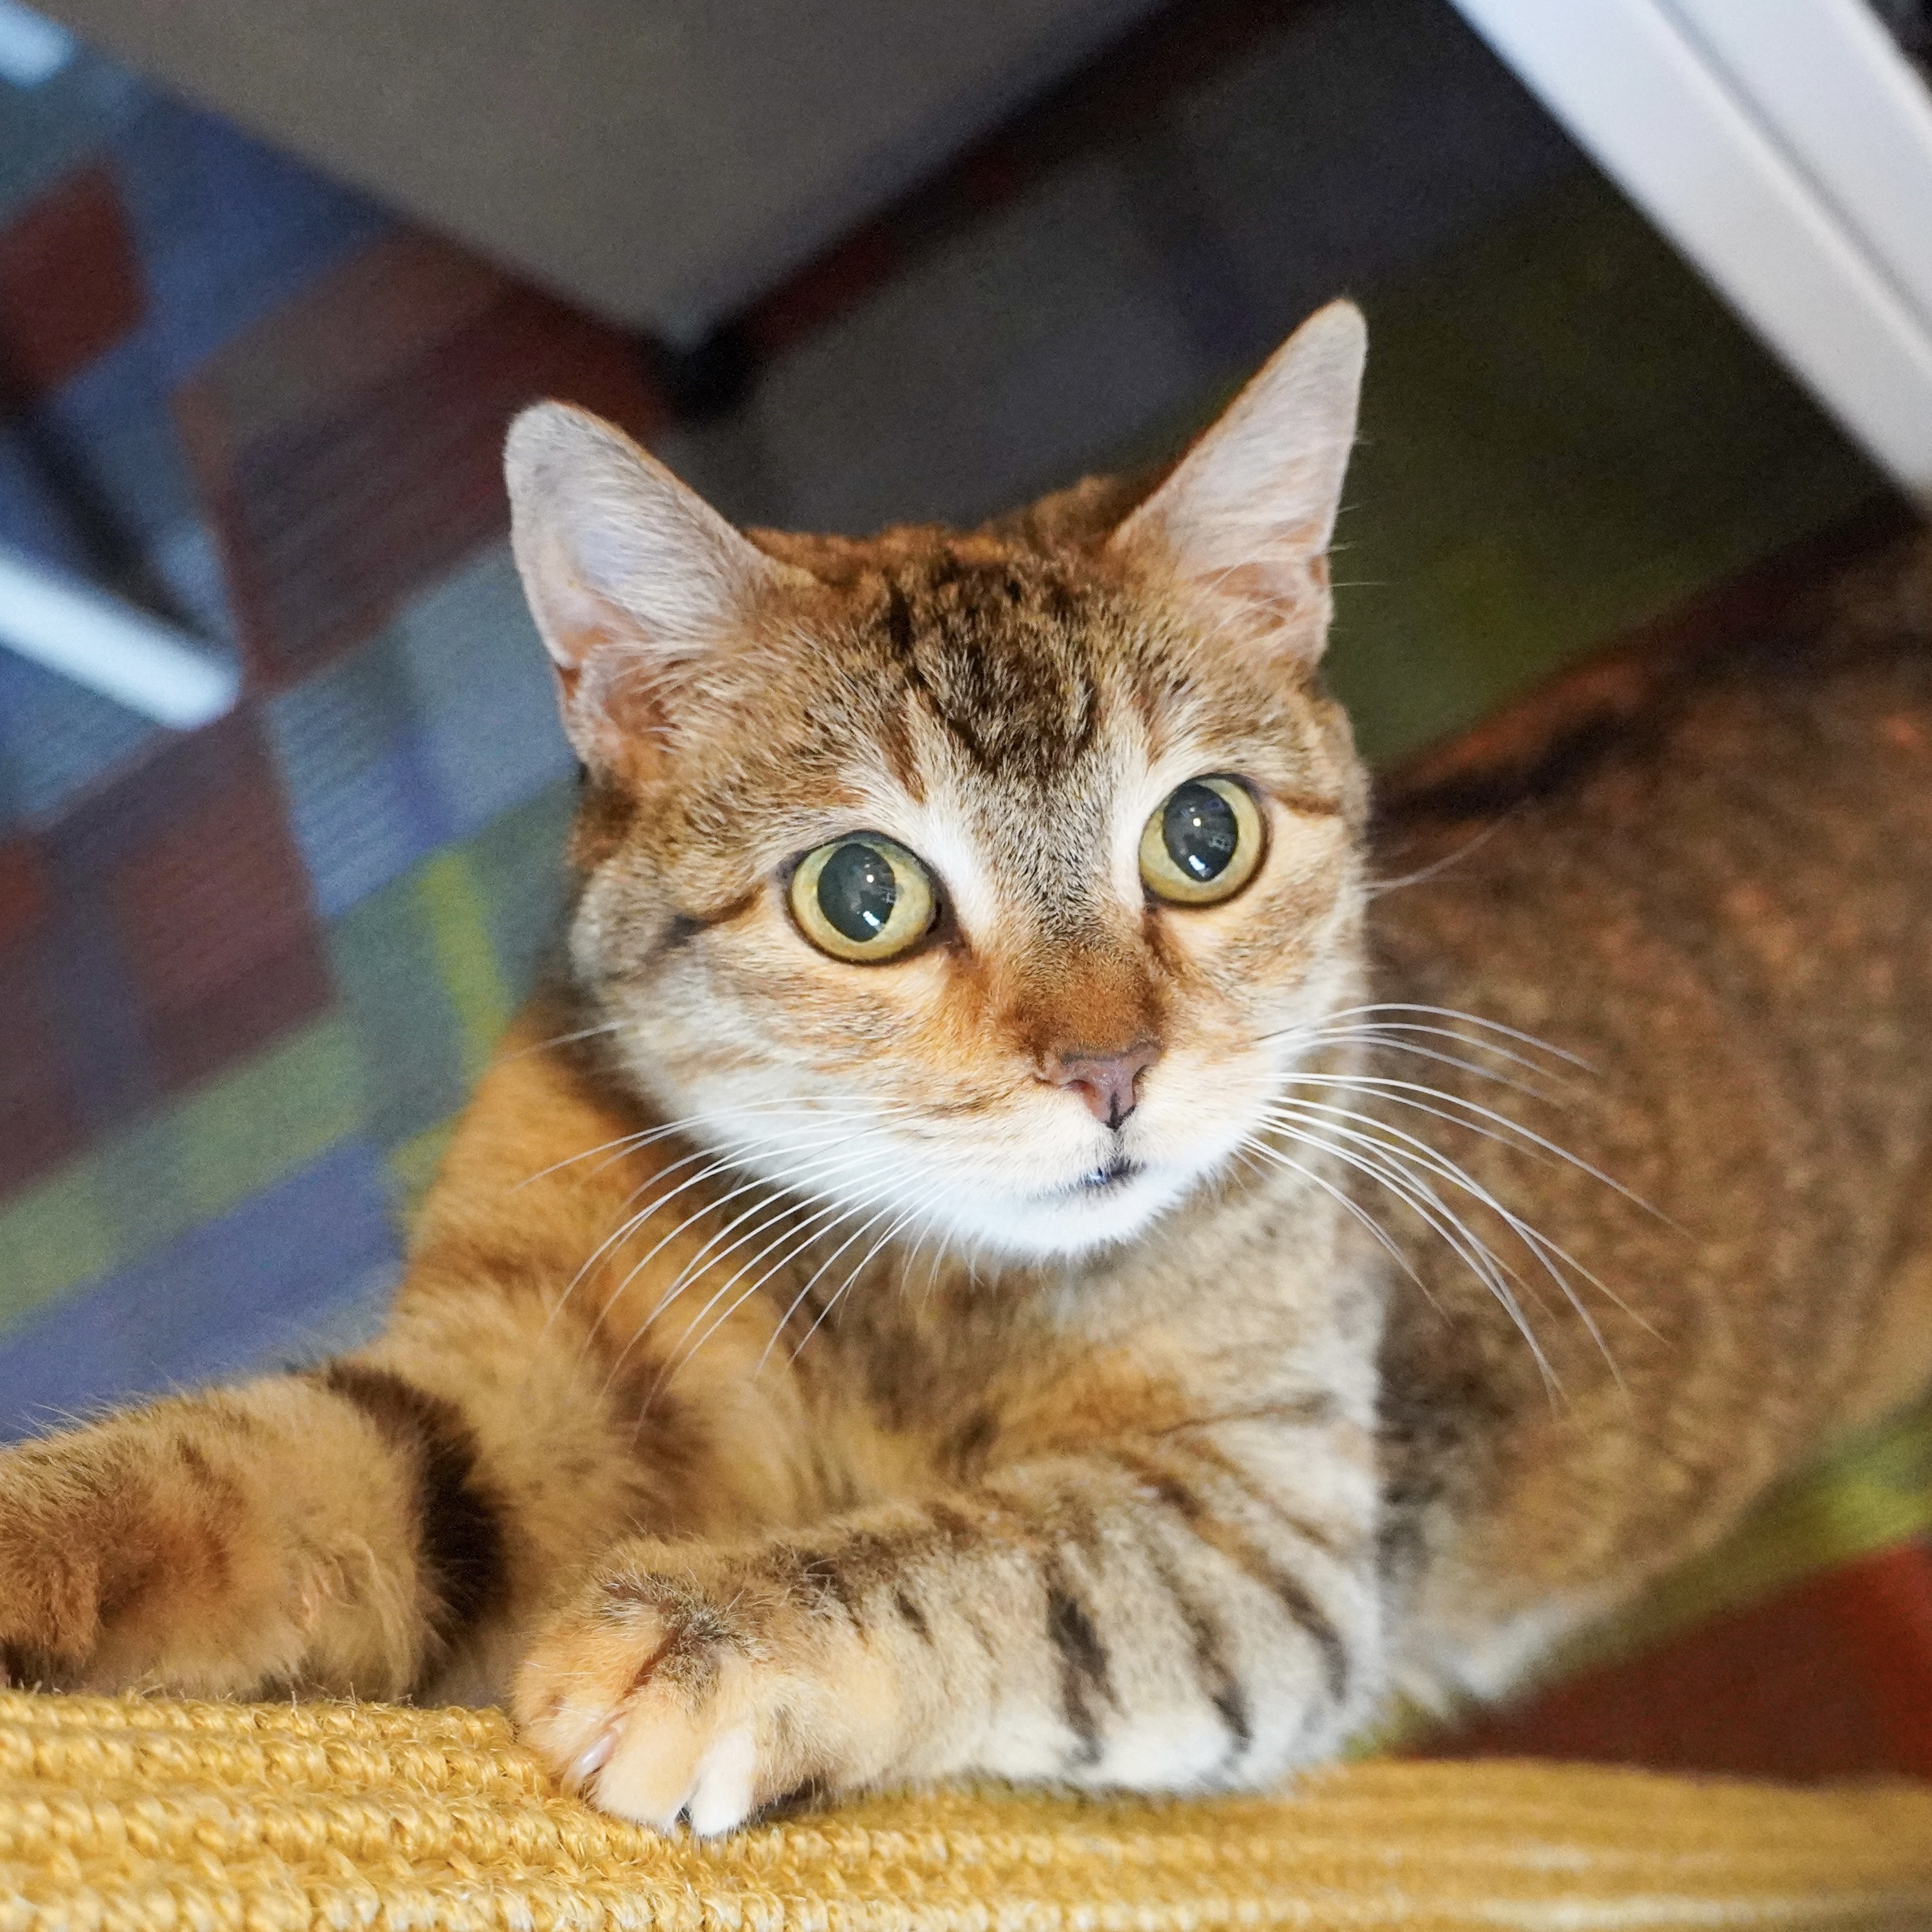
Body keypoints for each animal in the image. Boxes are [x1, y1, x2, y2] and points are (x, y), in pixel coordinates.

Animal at [3, 297, 1932, 1823]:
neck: (903, 1287)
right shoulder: (508, 1388)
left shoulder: (1270, 1526)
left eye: (1204, 836)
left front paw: (709, 1634)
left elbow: (1015, 1554)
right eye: (862, 894)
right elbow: (243, 1466)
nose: (1110, 1070)